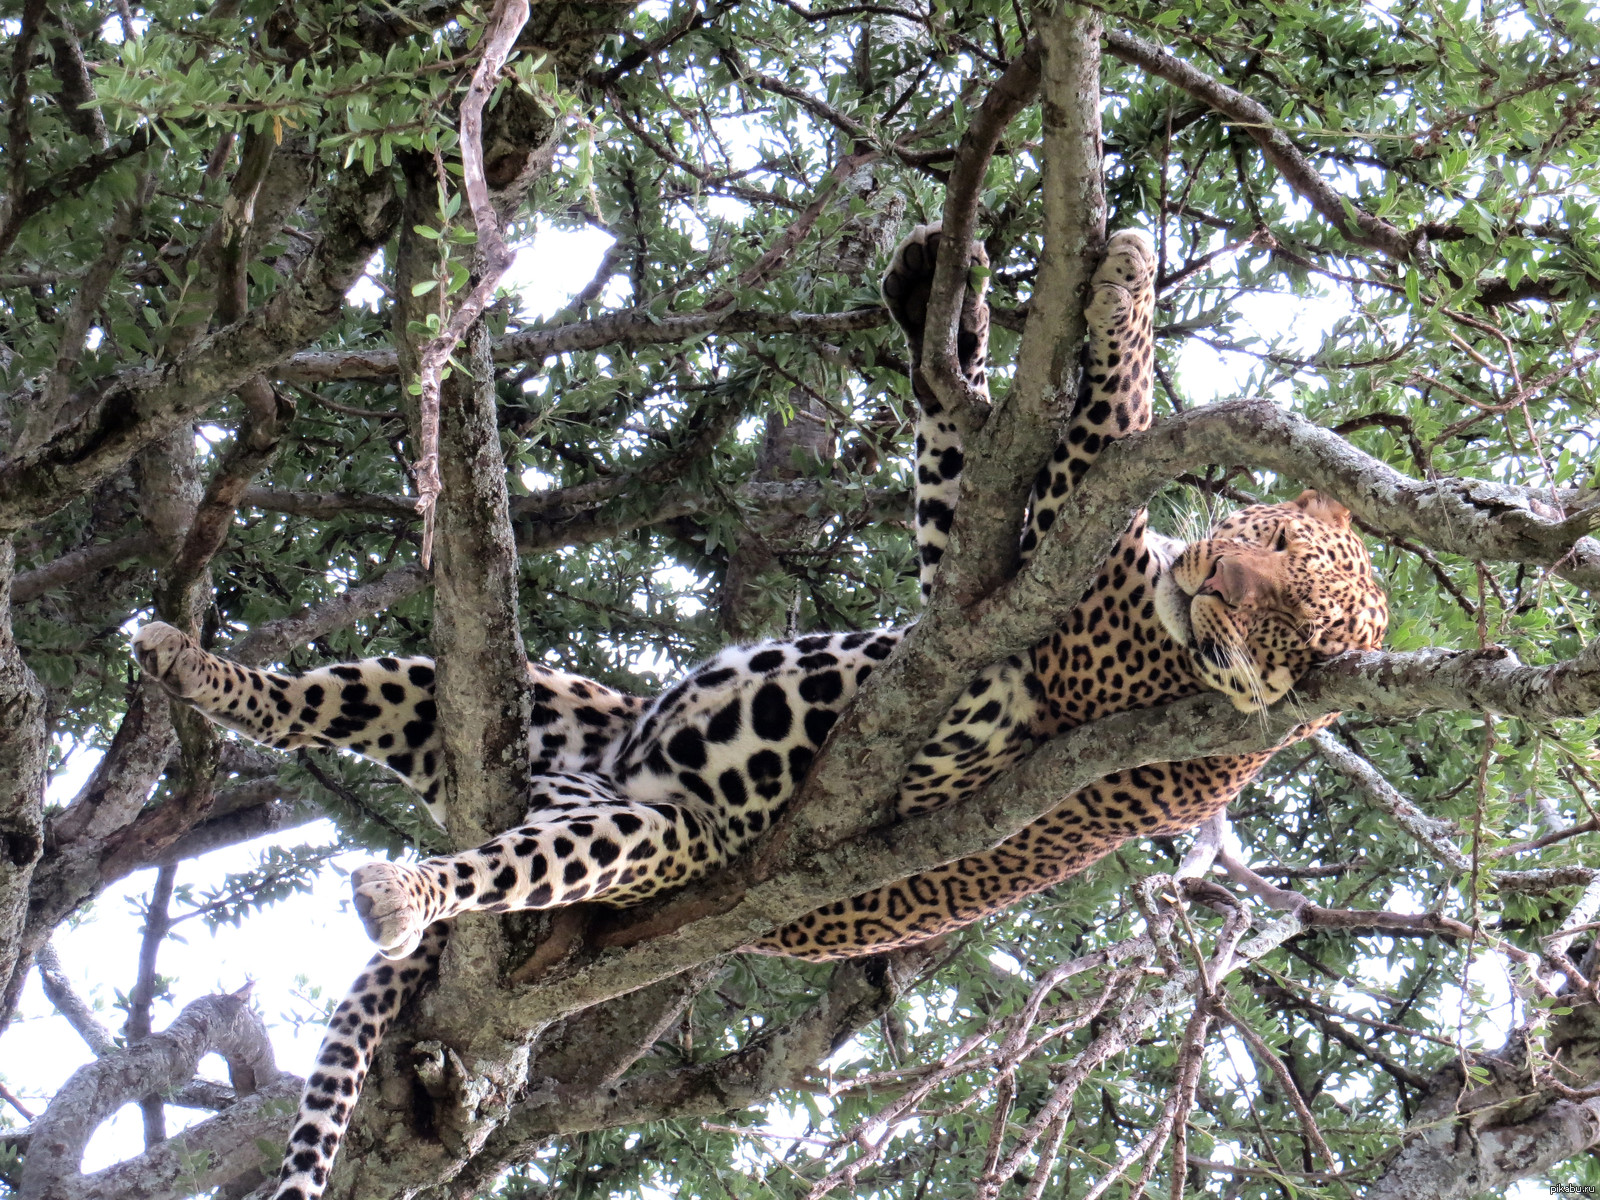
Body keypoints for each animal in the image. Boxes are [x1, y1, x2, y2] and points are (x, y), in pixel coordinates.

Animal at [128, 220, 1388, 1196]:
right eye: (1276, 548)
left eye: (1295, 631)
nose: (1216, 588)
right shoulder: (981, 586)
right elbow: (967, 449)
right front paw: (940, 301)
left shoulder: (1057, 596)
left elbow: (1103, 425)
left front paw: (1123, 276)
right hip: (547, 713)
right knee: (325, 703)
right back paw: (190, 665)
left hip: (645, 830)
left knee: (508, 863)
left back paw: (402, 889)